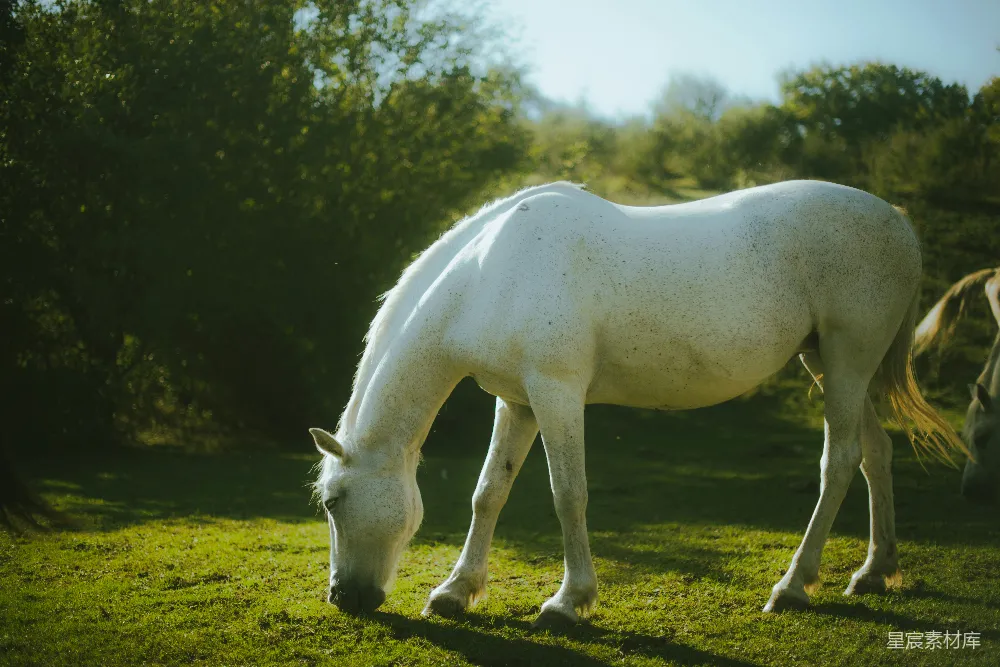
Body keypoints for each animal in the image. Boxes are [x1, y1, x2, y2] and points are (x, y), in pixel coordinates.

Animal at [310, 180, 967, 626]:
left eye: (334, 501)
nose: (345, 598)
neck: (492, 273)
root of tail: (896, 221)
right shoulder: (518, 403)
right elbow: (488, 493)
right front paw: (455, 591)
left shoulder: (557, 393)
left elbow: (567, 495)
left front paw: (567, 602)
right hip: (830, 364)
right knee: (876, 454)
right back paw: (874, 571)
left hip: (848, 362)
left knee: (841, 462)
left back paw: (792, 586)